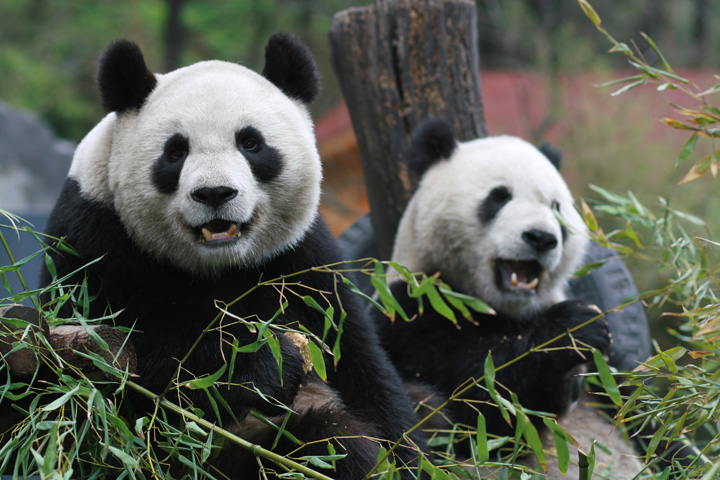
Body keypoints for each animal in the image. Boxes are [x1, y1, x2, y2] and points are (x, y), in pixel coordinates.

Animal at [40, 35, 428, 478]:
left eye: (250, 143)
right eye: (175, 152)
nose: (214, 193)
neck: (218, 265)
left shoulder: (301, 258)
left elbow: (358, 360)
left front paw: (416, 459)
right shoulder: (93, 239)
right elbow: (132, 362)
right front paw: (268, 363)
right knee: (329, 443)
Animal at [376, 118, 640, 478]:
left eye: (556, 207)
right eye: (499, 197)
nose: (540, 238)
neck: (504, 309)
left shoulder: (611, 372)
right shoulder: (411, 310)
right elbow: (480, 403)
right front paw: (574, 329)